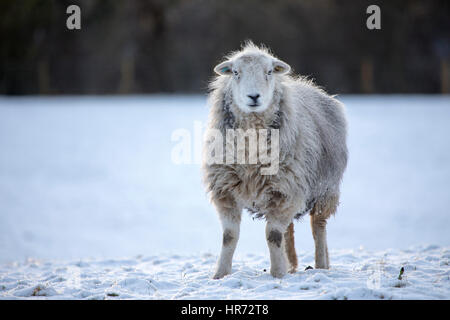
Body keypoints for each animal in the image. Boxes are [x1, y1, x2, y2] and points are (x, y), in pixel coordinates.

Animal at [203, 41, 348, 278]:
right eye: (235, 72)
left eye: (269, 72)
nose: (254, 96)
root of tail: (314, 89)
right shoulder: (226, 192)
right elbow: (230, 236)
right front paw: (220, 274)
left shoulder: (288, 191)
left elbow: (272, 235)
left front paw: (277, 273)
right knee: (289, 228)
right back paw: (292, 265)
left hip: (324, 189)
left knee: (318, 227)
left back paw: (320, 265)